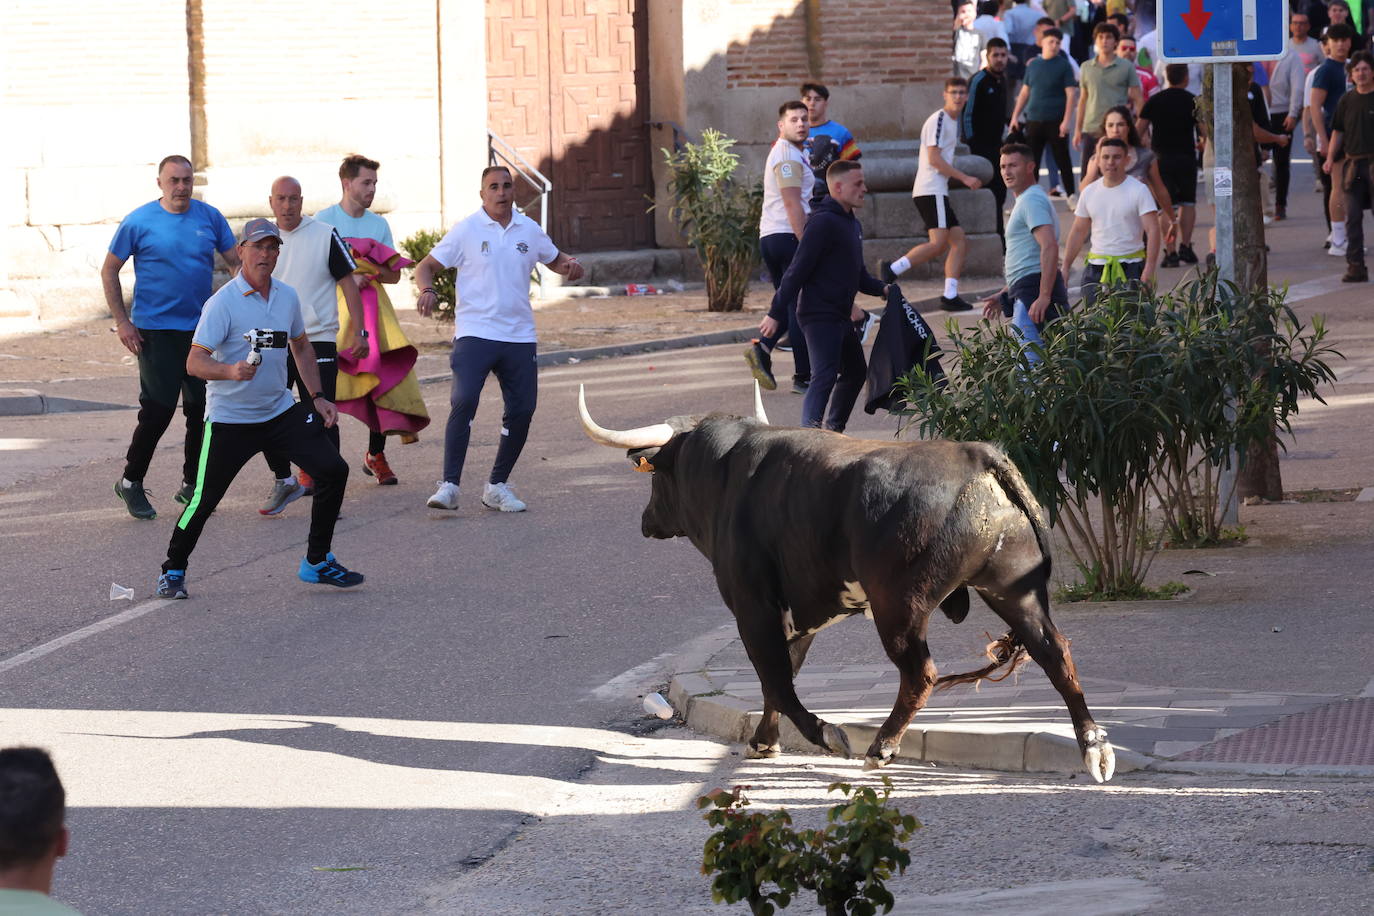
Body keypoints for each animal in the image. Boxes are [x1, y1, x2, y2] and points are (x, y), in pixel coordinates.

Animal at [579, 384, 1115, 780]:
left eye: (654, 477)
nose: (646, 520)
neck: (726, 474)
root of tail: (976, 455)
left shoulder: (752, 607)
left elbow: (776, 678)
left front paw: (824, 734)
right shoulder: (797, 615)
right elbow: (779, 678)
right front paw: (764, 742)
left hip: (900, 607)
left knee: (920, 673)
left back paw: (881, 746)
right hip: (1013, 590)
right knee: (1054, 651)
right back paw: (1094, 747)